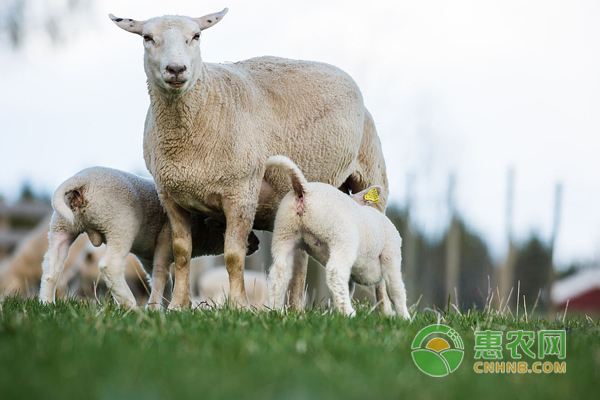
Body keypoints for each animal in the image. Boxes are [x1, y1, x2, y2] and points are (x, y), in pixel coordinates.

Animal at [39, 166, 260, 310]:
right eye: (223, 225)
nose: (256, 243)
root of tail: (80, 181)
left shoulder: (147, 255)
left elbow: (161, 278)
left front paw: (168, 304)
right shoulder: (165, 239)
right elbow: (161, 274)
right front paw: (154, 308)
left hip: (62, 225)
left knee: (52, 265)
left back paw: (46, 303)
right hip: (120, 224)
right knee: (109, 266)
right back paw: (130, 306)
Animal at [108, 8, 390, 310]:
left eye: (196, 36)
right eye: (147, 38)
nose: (175, 69)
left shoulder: (242, 193)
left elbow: (234, 254)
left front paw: (239, 305)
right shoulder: (171, 196)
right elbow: (181, 252)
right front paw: (178, 305)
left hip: (371, 175)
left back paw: (385, 310)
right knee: (300, 260)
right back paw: (295, 309)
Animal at [266, 156, 410, 318]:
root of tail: (305, 189)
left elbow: (350, 287)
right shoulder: (391, 256)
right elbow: (396, 290)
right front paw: (405, 318)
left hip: (284, 233)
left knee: (279, 272)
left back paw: (275, 310)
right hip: (341, 237)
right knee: (335, 273)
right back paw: (348, 313)